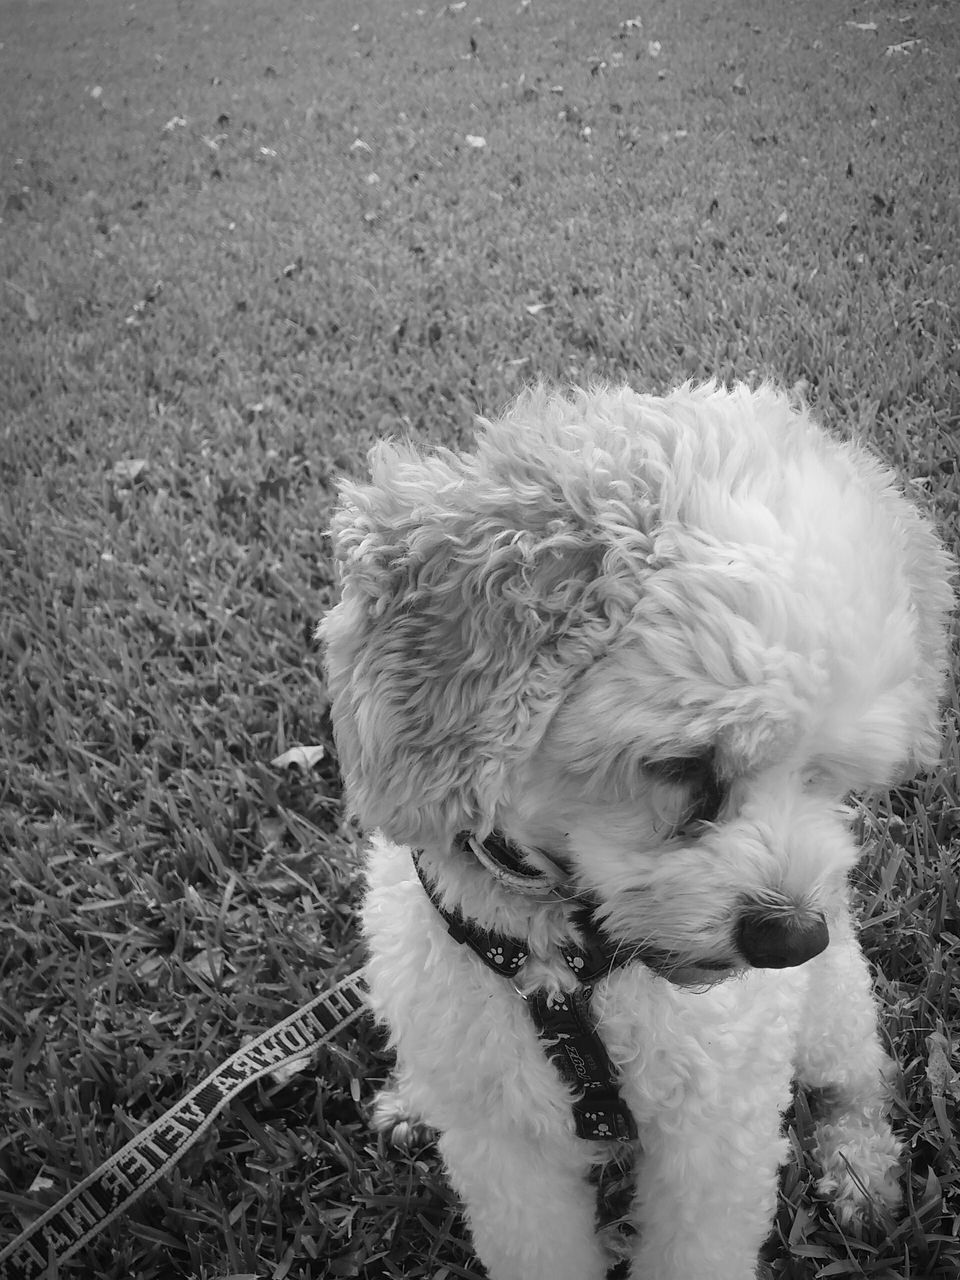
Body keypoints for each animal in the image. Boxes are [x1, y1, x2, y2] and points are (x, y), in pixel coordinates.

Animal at [321, 378, 957, 1280]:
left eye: (826, 778)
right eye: (685, 765)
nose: (794, 939)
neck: (570, 959)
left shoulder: (718, 1126)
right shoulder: (505, 1150)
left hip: (835, 1011)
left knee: (857, 1080)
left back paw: (859, 1167)